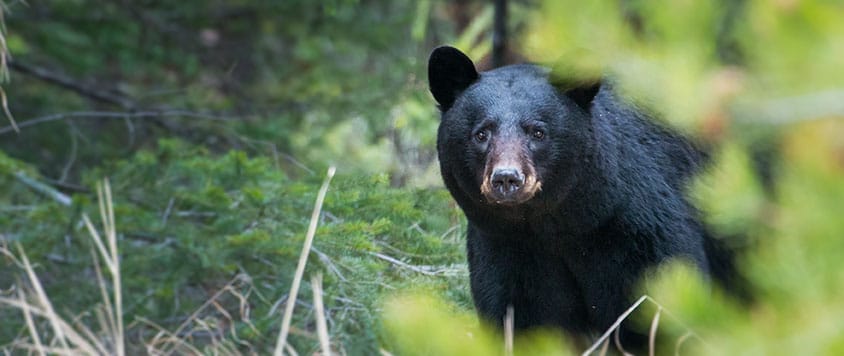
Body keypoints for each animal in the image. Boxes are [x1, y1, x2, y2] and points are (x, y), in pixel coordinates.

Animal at [428, 45, 724, 342]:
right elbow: (523, 316)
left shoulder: (638, 232)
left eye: (538, 132)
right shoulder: (507, 247)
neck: (560, 226)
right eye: (481, 134)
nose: (507, 178)